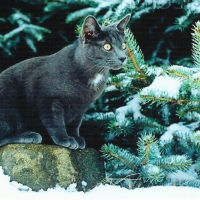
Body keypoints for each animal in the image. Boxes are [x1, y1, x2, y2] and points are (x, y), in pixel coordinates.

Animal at [0, 14, 130, 148]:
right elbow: (56, 122)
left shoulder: (81, 107)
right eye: (107, 46)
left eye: (124, 45)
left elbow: (75, 124)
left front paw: (76, 138)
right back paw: (29, 135)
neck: (94, 74)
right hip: (9, 101)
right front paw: (65, 139)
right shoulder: (48, 99)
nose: (123, 57)